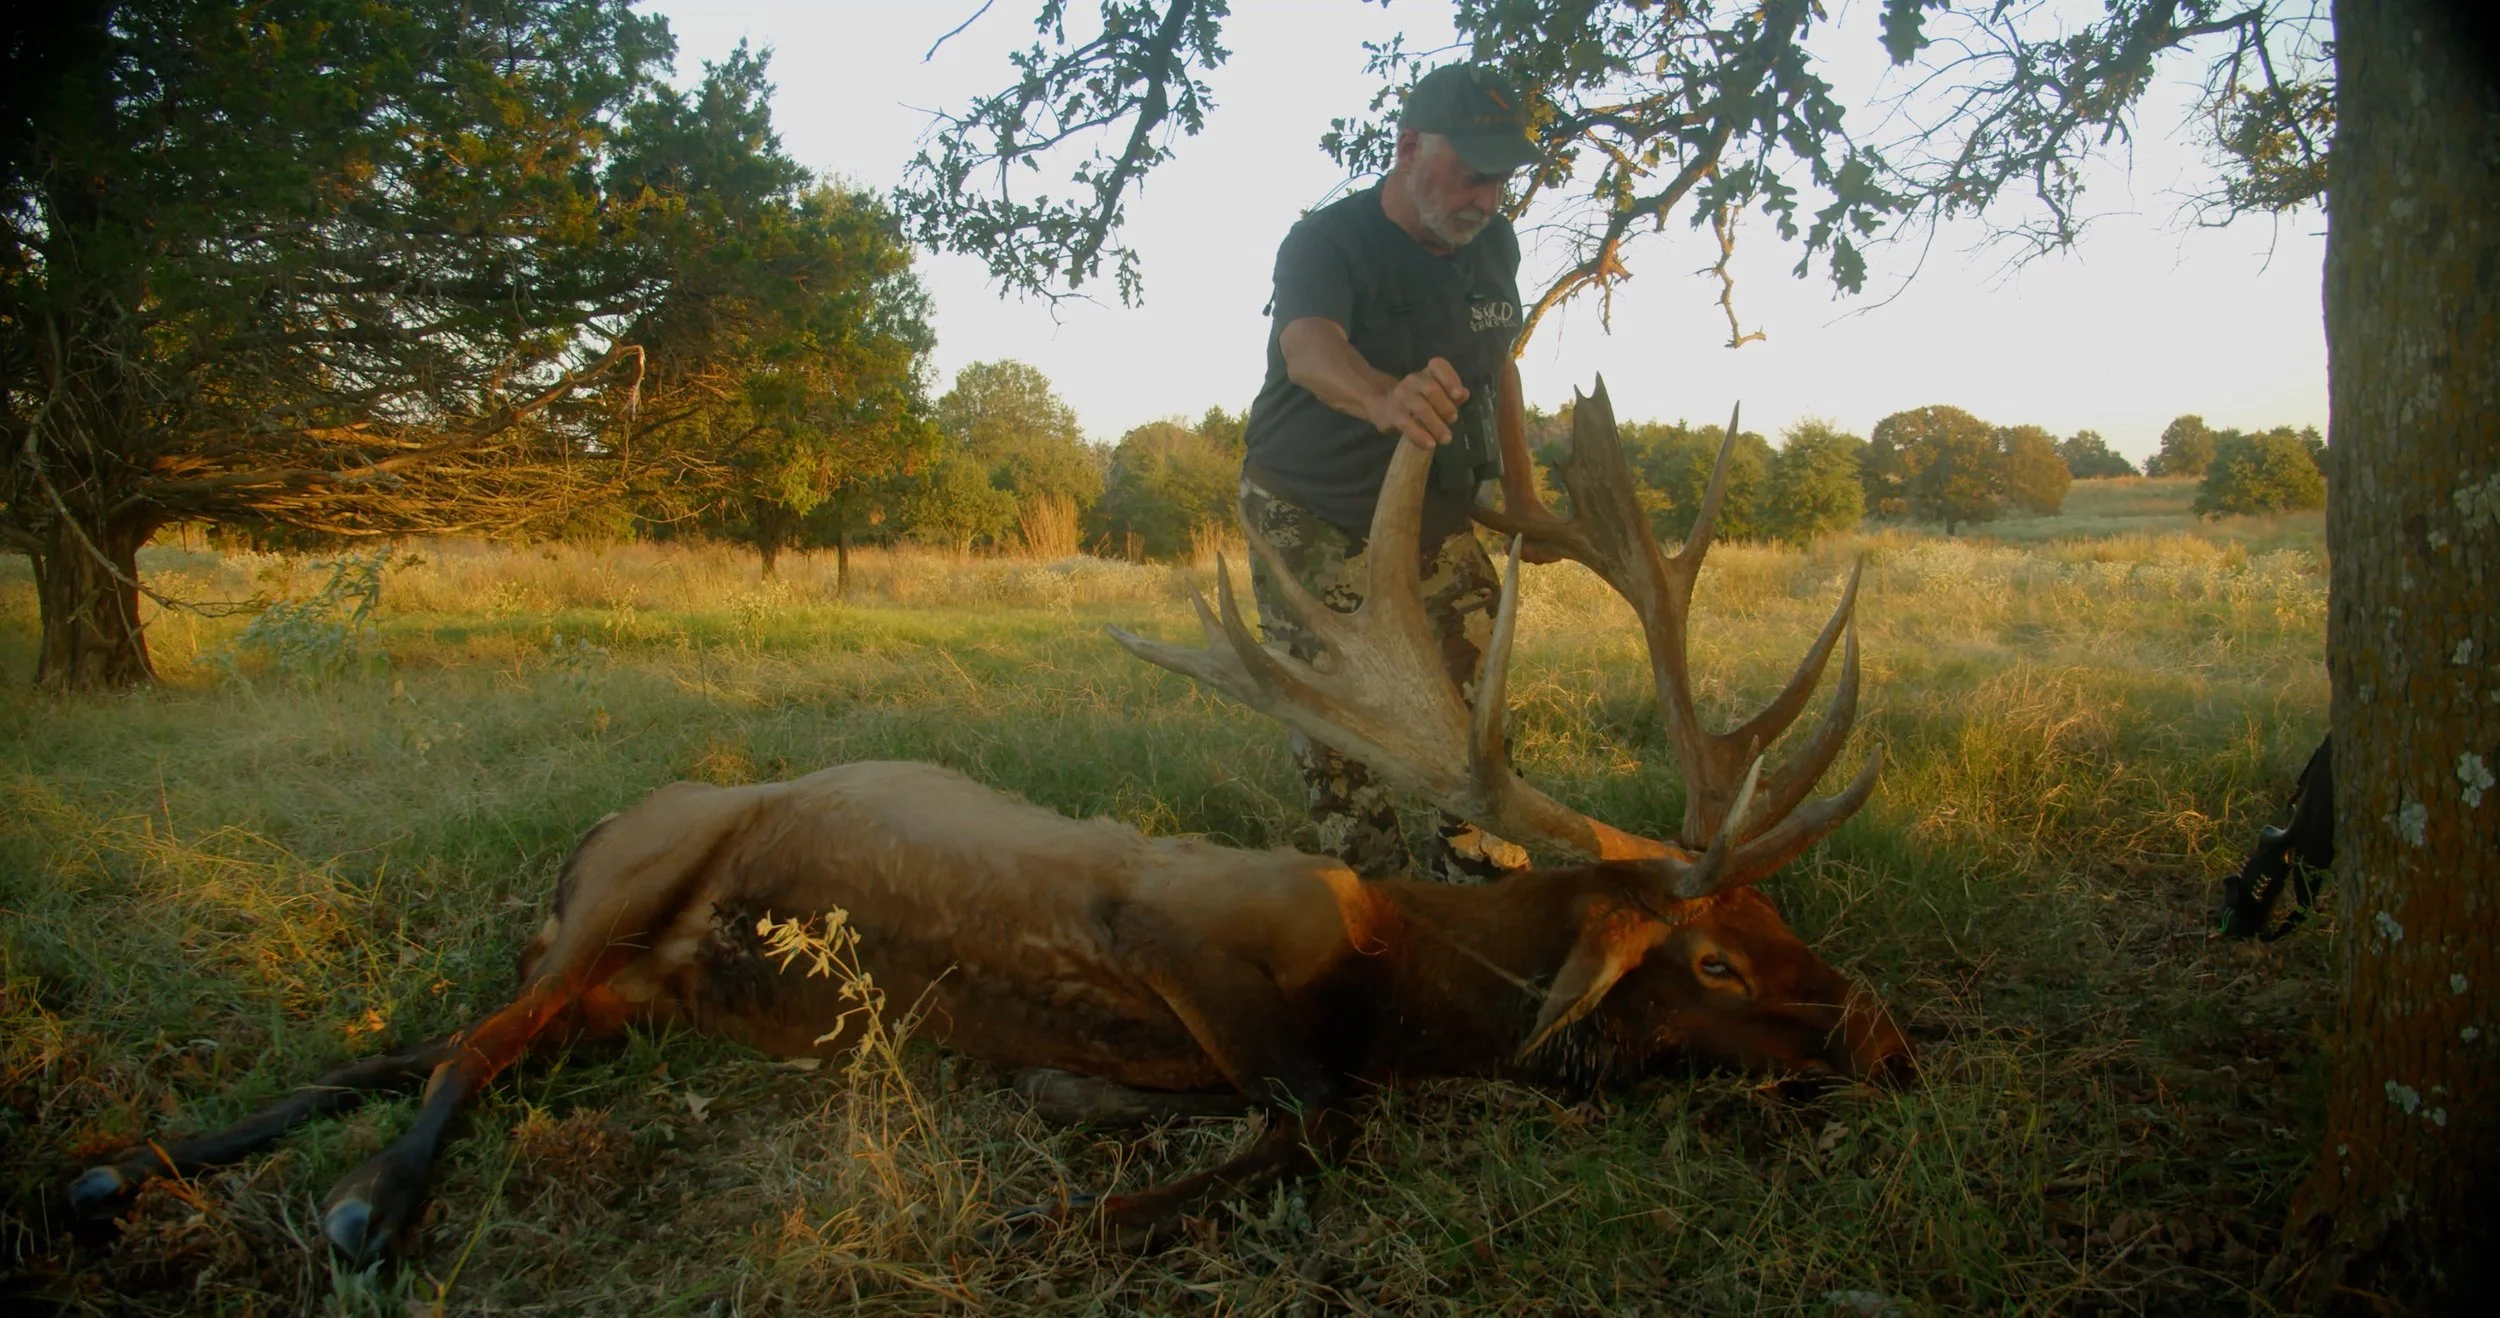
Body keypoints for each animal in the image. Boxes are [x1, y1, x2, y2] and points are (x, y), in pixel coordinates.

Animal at [69, 380, 1910, 1263]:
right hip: (636, 881)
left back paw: (122, 1168)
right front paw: (1054, 1216)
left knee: (431, 1034)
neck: (1400, 973)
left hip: (636, 985)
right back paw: (358, 1208)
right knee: (463, 1040)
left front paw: (1071, 1125)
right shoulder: (1169, 922)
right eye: (1718, 961)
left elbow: (1273, 1099)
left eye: (1792, 923)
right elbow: (1321, 1112)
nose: (1892, 1041)